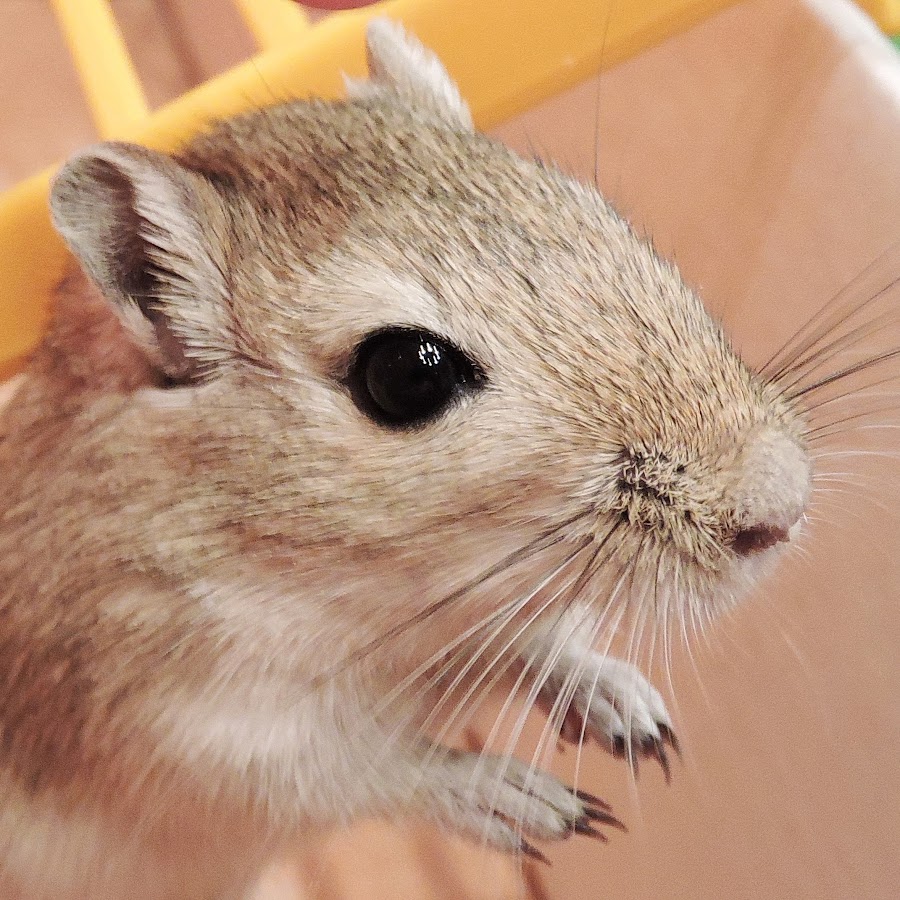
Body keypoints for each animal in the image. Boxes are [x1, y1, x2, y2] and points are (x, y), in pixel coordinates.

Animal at [0, 19, 811, 900]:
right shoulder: (206, 739)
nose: (786, 506)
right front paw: (548, 808)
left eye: (600, 214)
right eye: (405, 375)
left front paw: (636, 715)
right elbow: (384, 770)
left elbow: (543, 643)